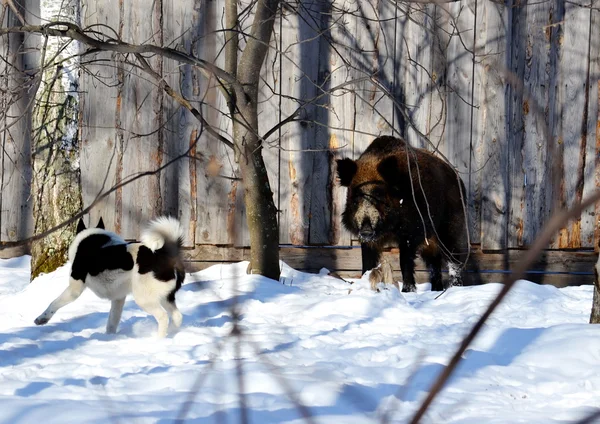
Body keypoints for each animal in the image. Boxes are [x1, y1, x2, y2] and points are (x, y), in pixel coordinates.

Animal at [35, 215, 185, 338]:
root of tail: (165, 255)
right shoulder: (118, 298)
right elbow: (112, 321)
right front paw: (109, 338)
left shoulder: (75, 288)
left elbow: (54, 303)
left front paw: (41, 319)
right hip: (165, 297)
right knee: (177, 316)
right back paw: (172, 333)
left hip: (144, 298)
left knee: (163, 317)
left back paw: (159, 340)